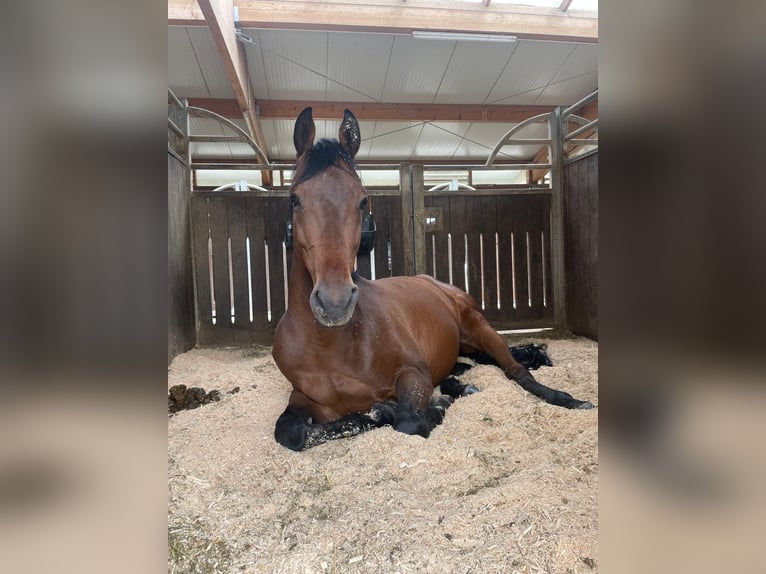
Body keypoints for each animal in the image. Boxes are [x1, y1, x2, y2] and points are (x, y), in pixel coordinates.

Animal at [272, 106, 596, 452]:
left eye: (362, 200)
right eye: (294, 199)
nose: (335, 303)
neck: (330, 344)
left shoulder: (414, 374)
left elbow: (408, 421)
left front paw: (432, 407)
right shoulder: (303, 398)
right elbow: (292, 432)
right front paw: (389, 410)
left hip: (480, 327)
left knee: (516, 370)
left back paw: (568, 400)